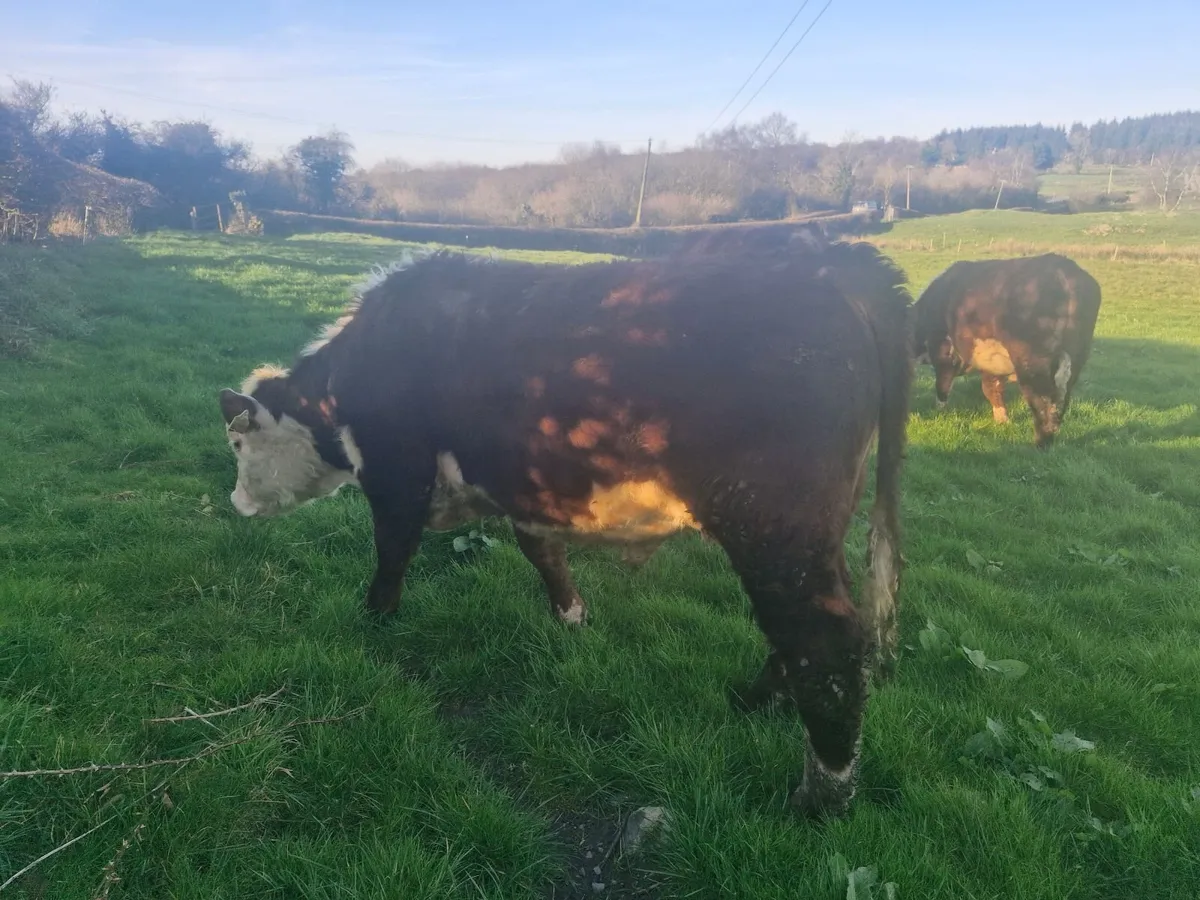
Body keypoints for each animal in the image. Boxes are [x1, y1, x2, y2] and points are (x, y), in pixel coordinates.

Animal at [216, 242, 912, 818]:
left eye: (236, 441)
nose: (236, 503)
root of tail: (840, 266)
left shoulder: (396, 471)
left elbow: (392, 552)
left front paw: (375, 621)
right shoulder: (524, 490)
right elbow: (539, 548)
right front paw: (571, 616)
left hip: (776, 527)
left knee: (825, 640)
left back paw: (819, 799)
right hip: (815, 533)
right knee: (805, 630)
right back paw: (755, 700)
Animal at [912, 253, 1102, 447]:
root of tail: (1062, 269)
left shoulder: (942, 350)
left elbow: (942, 384)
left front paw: (940, 411)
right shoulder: (992, 363)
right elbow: (990, 388)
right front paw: (1002, 420)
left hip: (1033, 365)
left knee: (1043, 405)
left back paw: (1040, 444)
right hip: (1075, 359)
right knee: (1060, 402)